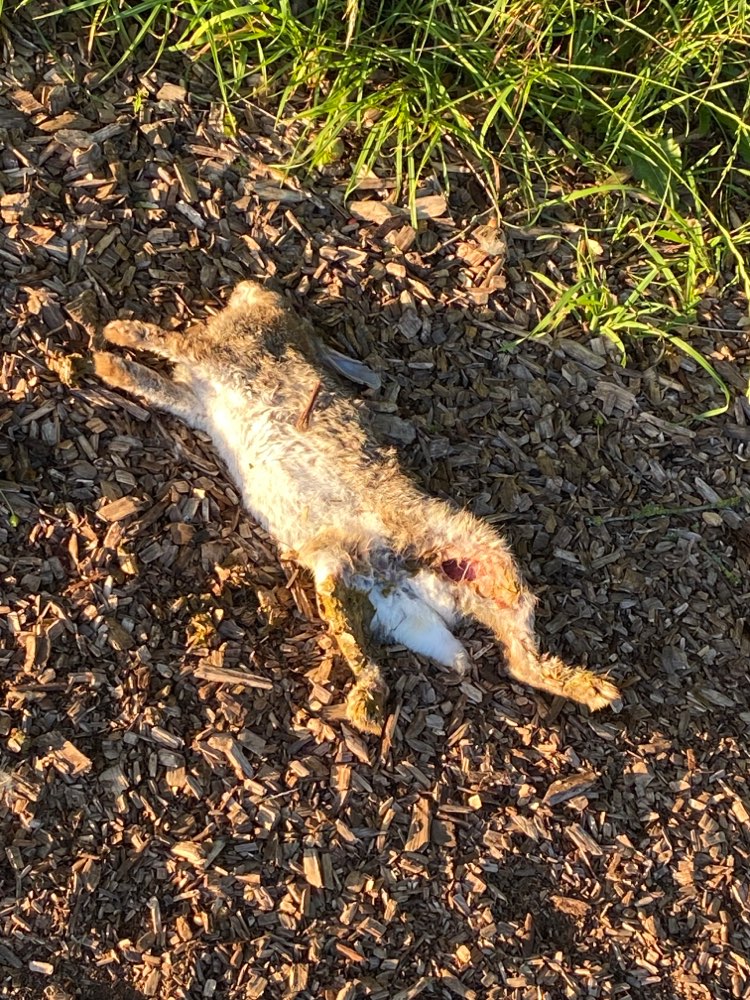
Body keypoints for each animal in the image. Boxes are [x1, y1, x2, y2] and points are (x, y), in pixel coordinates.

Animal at [93, 281, 621, 734]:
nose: (252, 288)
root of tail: (406, 581)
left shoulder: (214, 361)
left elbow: (167, 342)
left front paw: (113, 340)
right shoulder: (197, 401)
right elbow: (156, 383)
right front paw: (111, 363)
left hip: (470, 554)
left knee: (517, 652)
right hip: (345, 583)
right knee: (418, 660)